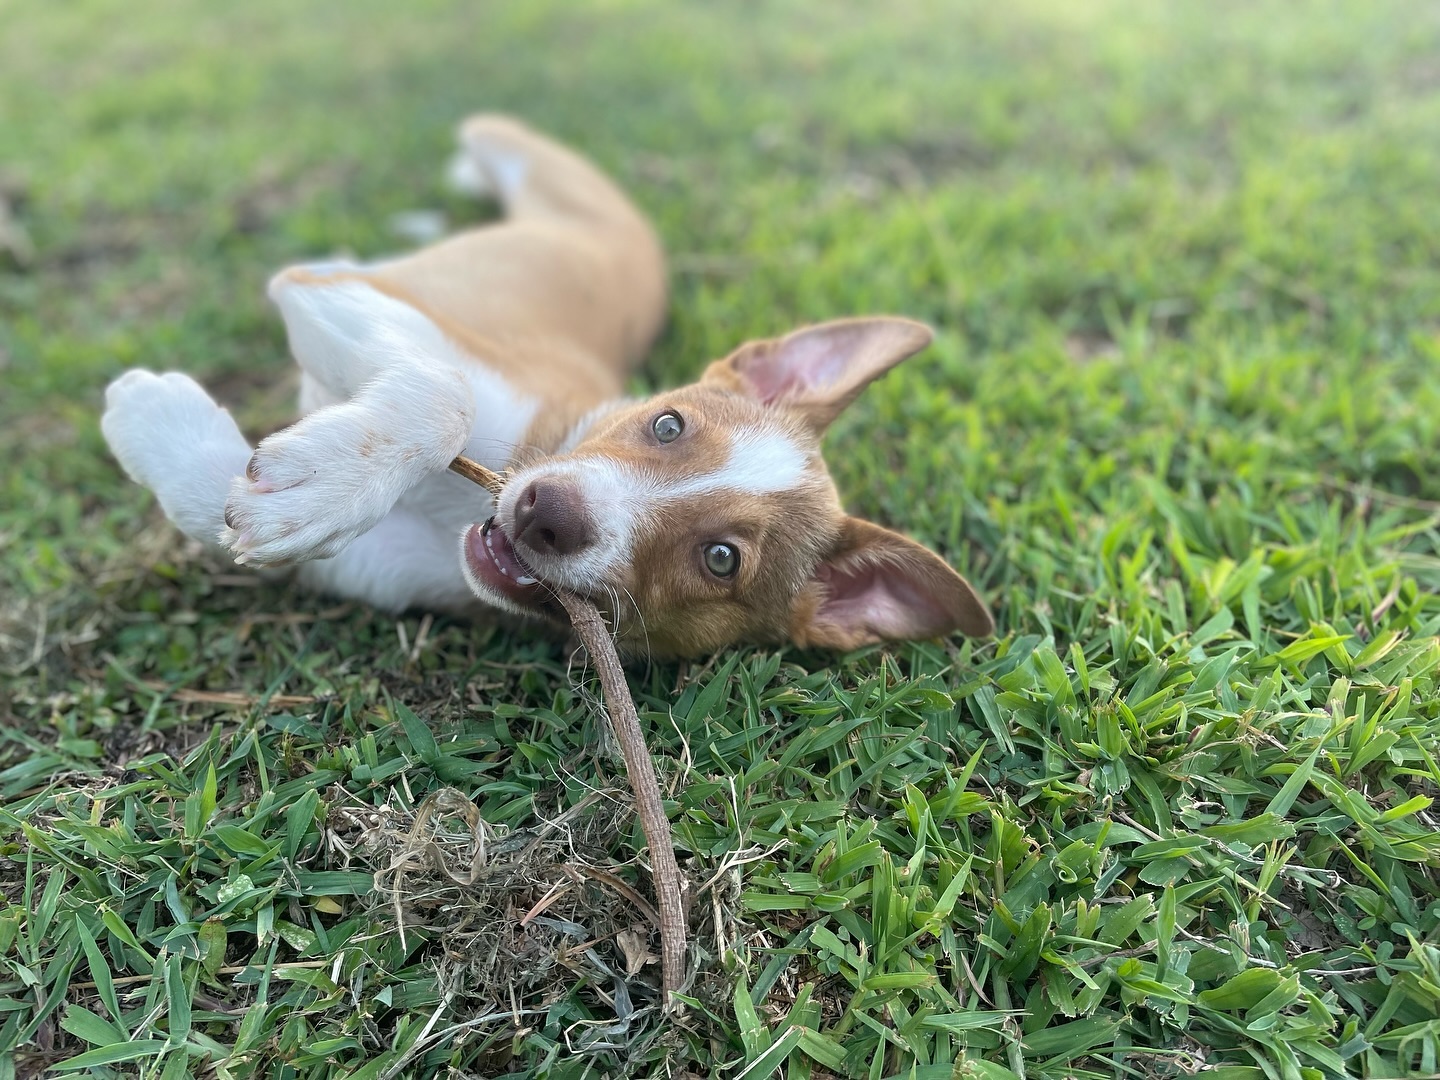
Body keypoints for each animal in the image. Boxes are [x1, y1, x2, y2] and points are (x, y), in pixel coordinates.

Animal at [101, 118, 990, 659]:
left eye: (721, 560)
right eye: (667, 425)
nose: (545, 512)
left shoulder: (373, 569)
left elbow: (218, 511)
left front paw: (168, 428)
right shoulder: (348, 298)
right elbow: (443, 391)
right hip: (506, 158)